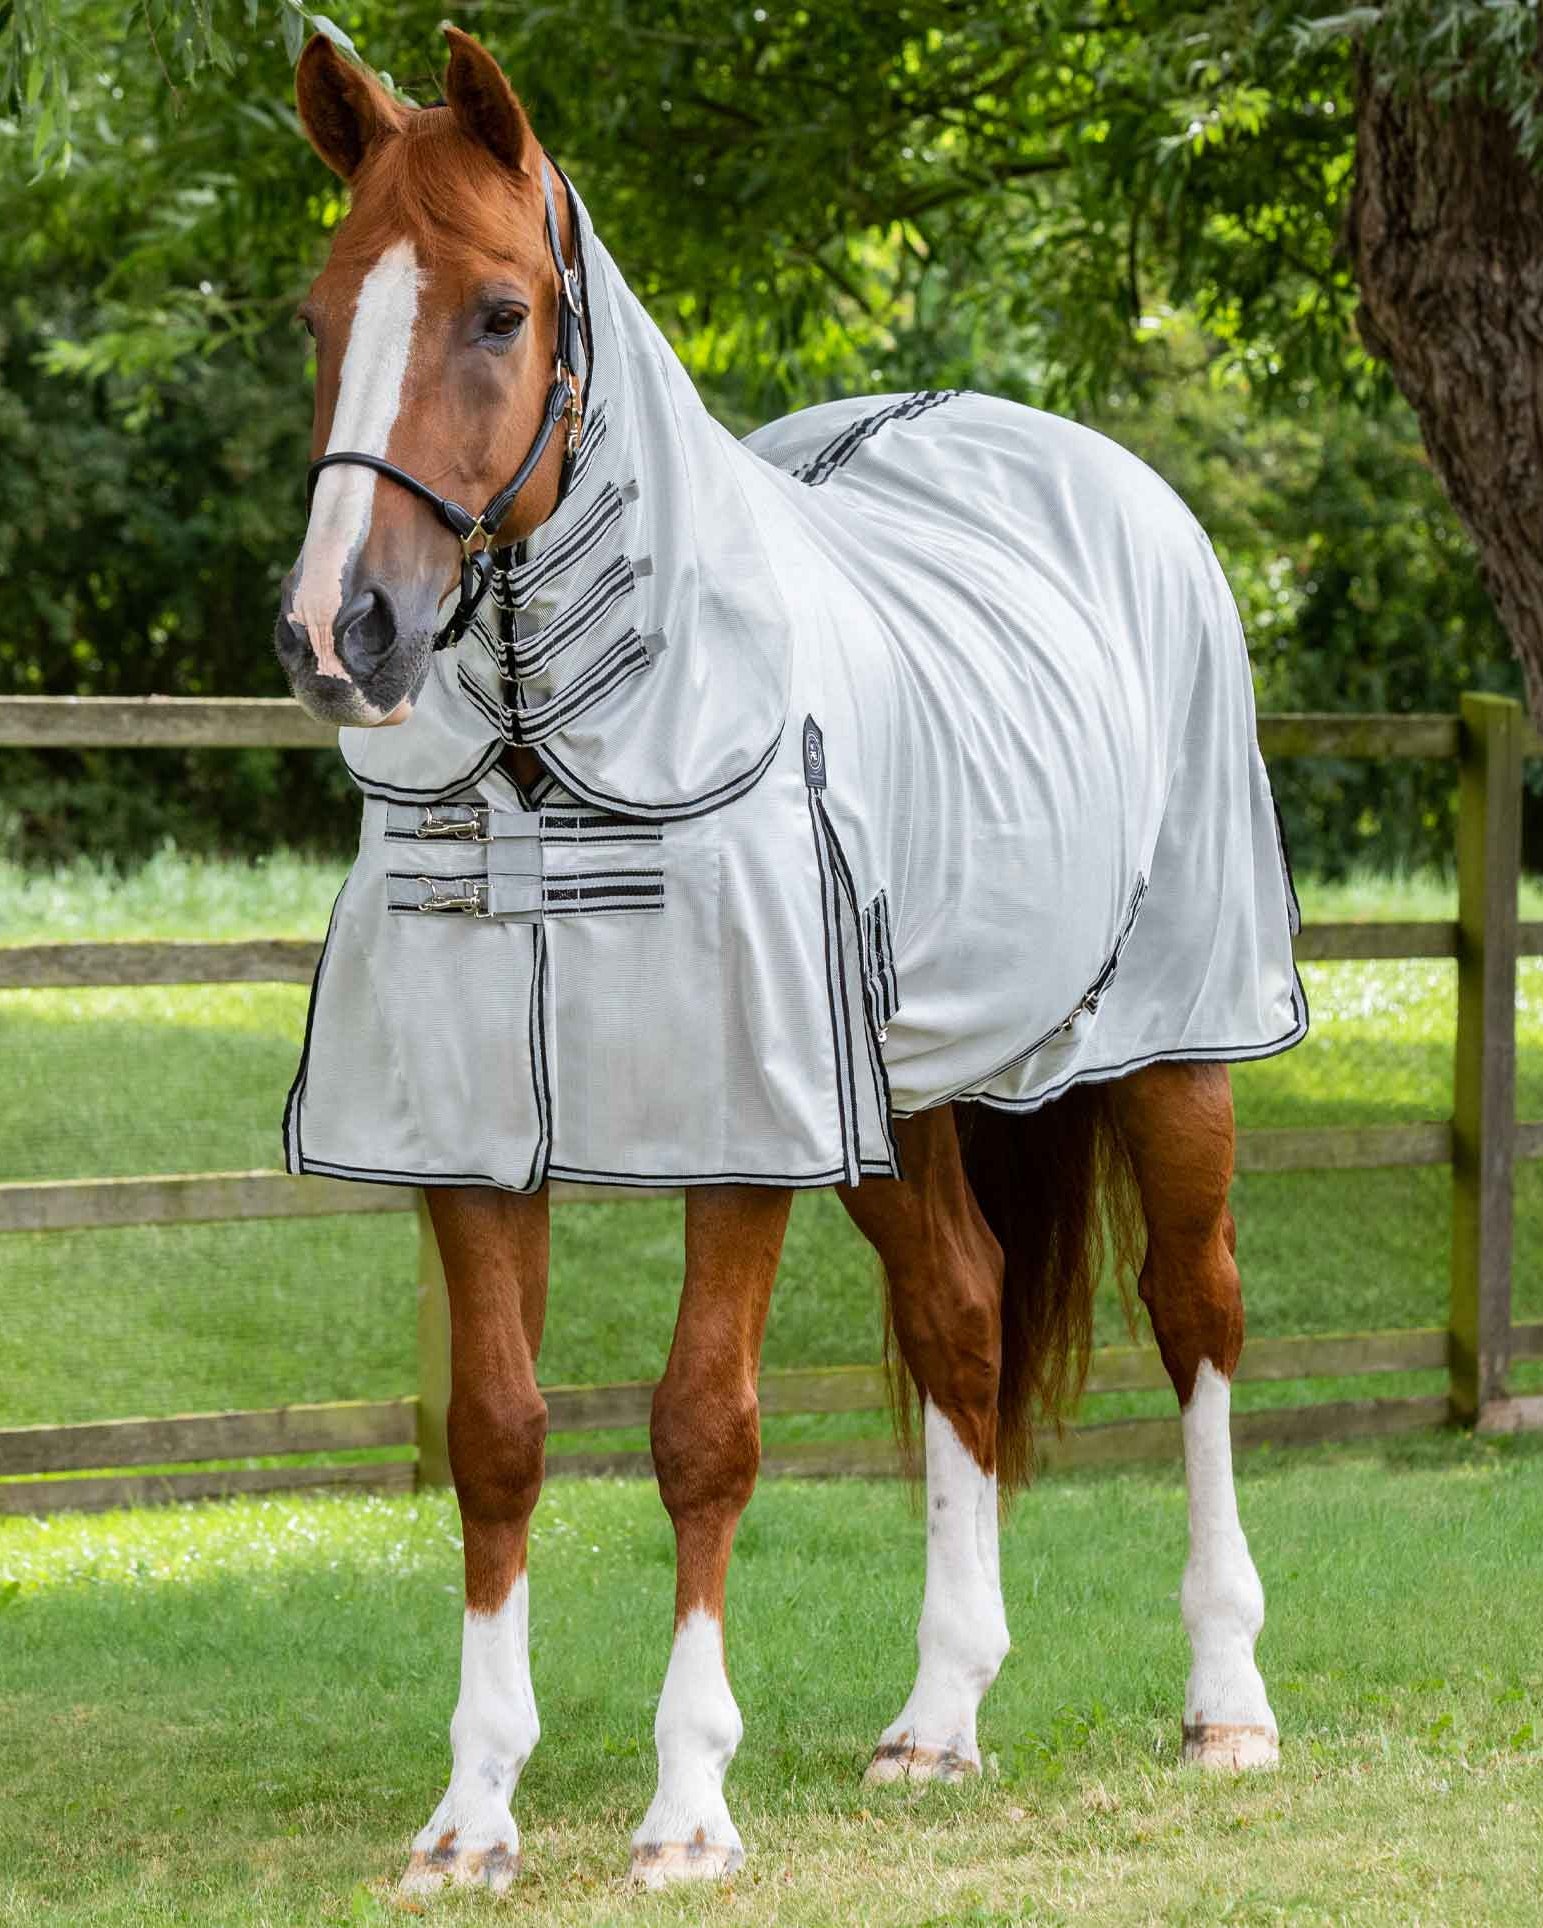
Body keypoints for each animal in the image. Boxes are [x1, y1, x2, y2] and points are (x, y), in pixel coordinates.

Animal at [273, 27, 1304, 1895]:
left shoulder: (737, 1122)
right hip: (901, 1091)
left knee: (1194, 1319)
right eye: (320, 317)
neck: (548, 764)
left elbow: (702, 1429)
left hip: (1178, 1044)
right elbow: (495, 1435)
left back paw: (1226, 1704)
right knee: (961, 1314)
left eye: (497, 314)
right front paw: (470, 1815)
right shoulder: (463, 1133)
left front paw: (686, 1805)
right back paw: (937, 1718)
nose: (337, 634)